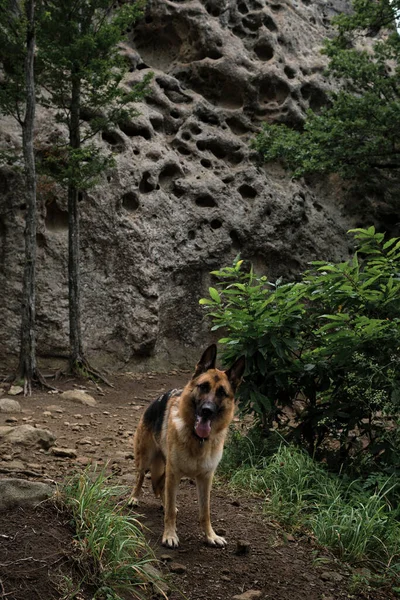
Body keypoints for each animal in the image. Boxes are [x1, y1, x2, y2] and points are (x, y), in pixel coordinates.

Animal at [130, 346, 245, 548]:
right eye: (203, 386)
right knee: (140, 477)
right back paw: (135, 497)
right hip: (145, 458)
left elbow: (205, 512)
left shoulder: (205, 479)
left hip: (165, 468)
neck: (198, 440)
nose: (207, 411)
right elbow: (170, 512)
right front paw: (169, 535)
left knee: (162, 489)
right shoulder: (174, 473)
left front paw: (210, 536)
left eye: (222, 393)